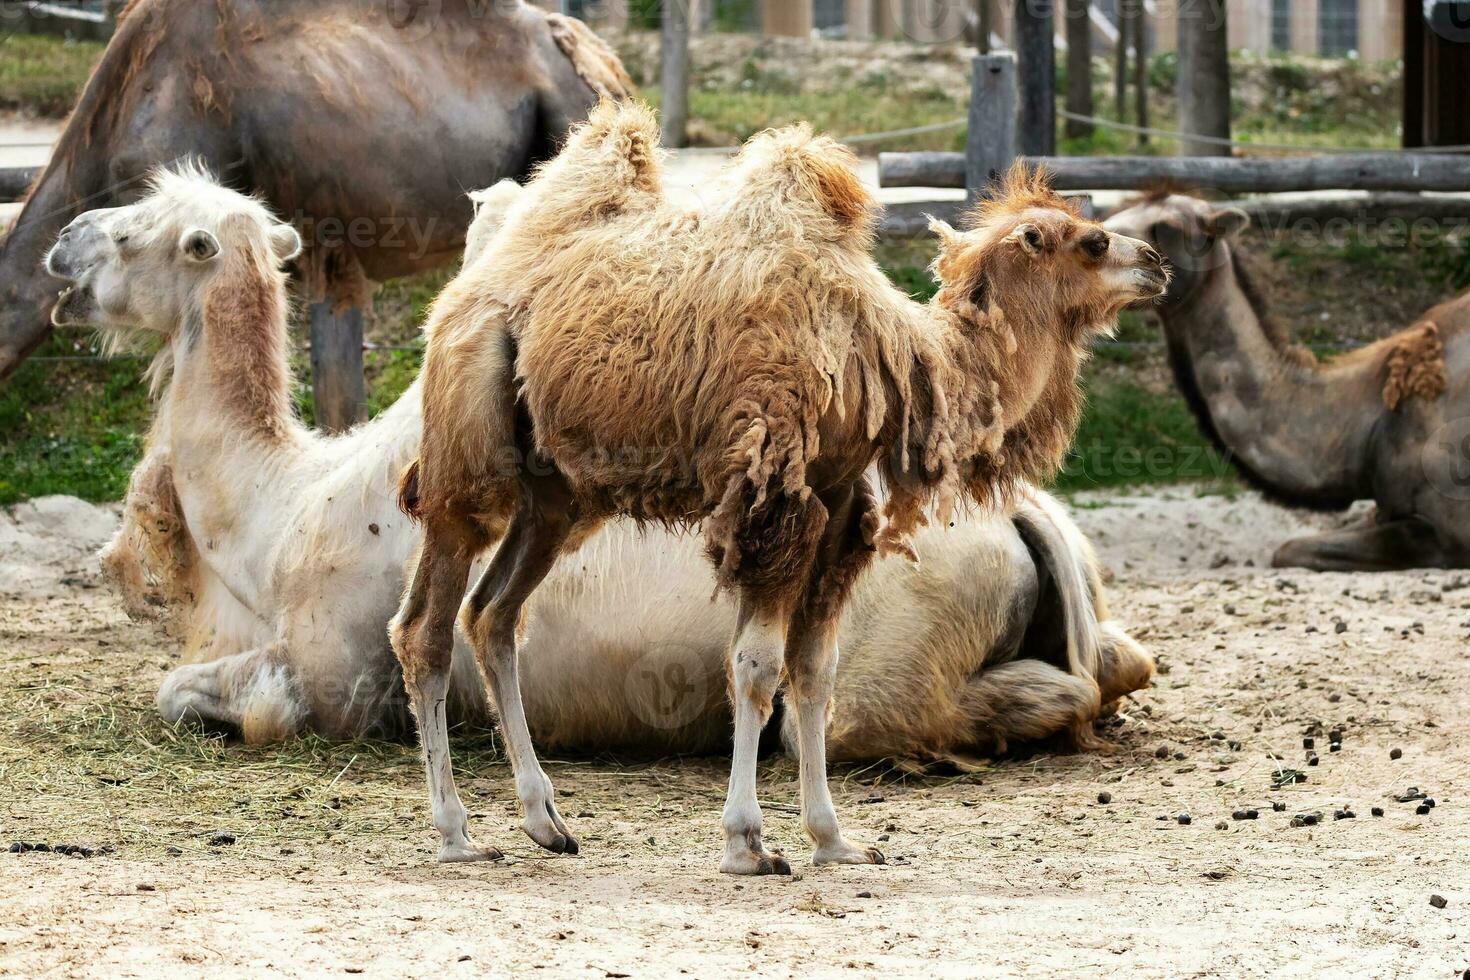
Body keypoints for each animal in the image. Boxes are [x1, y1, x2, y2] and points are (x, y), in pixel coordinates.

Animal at [42, 166, 1146, 764]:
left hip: (881, 664)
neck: (279, 513)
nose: (60, 242)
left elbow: (212, 697)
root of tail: (1028, 519)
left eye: (136, 232)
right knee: (1121, 662)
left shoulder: (339, 682)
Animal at [393, 103, 1170, 875]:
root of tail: (459, 298)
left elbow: (815, 672)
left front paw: (834, 839)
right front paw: (747, 841)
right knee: (425, 626)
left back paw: (546, 821)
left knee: (491, 616)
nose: (1158, 263)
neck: (892, 356)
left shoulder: (837, 508)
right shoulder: (771, 502)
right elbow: (756, 666)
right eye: (1093, 241)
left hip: (557, 495)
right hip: (468, 447)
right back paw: (457, 834)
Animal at [1105, 192, 1464, 570]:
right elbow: (1291, 548)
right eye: (1114, 212)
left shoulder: (1449, 530)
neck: (1368, 425)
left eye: (1168, 227)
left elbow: (1288, 550)